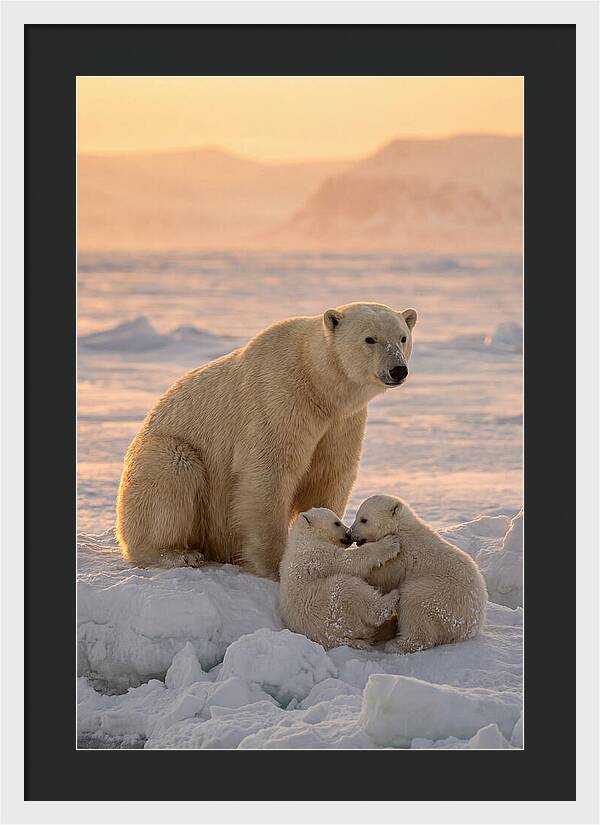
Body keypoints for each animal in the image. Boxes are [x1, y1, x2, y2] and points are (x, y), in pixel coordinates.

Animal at [116, 302, 417, 577]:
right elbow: (269, 474)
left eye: (402, 337)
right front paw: (276, 564)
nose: (398, 370)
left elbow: (329, 474)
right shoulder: (278, 400)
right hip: (163, 454)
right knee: (172, 472)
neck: (318, 384)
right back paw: (178, 553)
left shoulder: (341, 422)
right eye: (370, 338)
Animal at [279, 507, 402, 650]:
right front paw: (390, 543)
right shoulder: (318, 554)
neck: (304, 537)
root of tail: (340, 638)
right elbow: (348, 561)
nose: (348, 534)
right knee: (349, 589)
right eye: (337, 523)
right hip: (329, 607)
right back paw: (393, 597)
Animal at [350, 495, 488, 654]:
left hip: (440, 596)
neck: (400, 528)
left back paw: (396, 645)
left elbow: (381, 577)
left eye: (364, 519)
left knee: (414, 603)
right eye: (357, 516)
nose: (349, 533)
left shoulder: (400, 558)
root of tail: (470, 627)